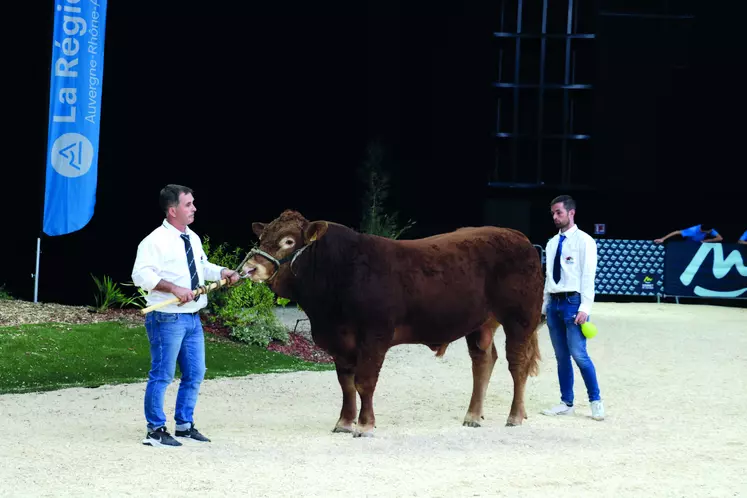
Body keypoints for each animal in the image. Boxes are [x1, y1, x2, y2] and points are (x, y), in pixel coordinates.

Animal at [244, 209, 544, 436]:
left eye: (288, 241)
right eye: (262, 236)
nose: (251, 268)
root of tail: (518, 236)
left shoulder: (374, 336)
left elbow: (365, 382)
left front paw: (364, 425)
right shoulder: (340, 341)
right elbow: (346, 383)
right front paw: (344, 422)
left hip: (520, 318)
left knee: (517, 364)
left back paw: (515, 416)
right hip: (480, 323)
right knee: (483, 360)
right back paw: (472, 415)